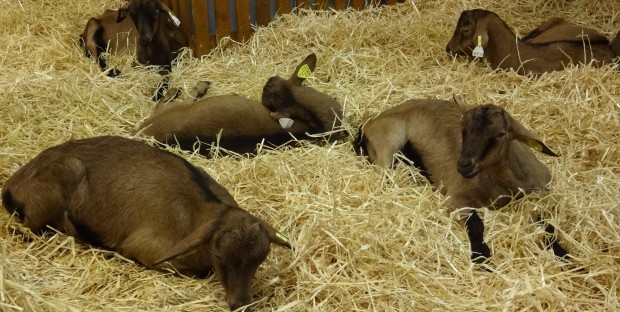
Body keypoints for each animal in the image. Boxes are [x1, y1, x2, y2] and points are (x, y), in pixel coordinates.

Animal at [1, 136, 292, 310]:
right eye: (219, 254)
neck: (197, 213)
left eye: (260, 259)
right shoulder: (146, 249)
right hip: (67, 173)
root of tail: (15, 181)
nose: (240, 304)